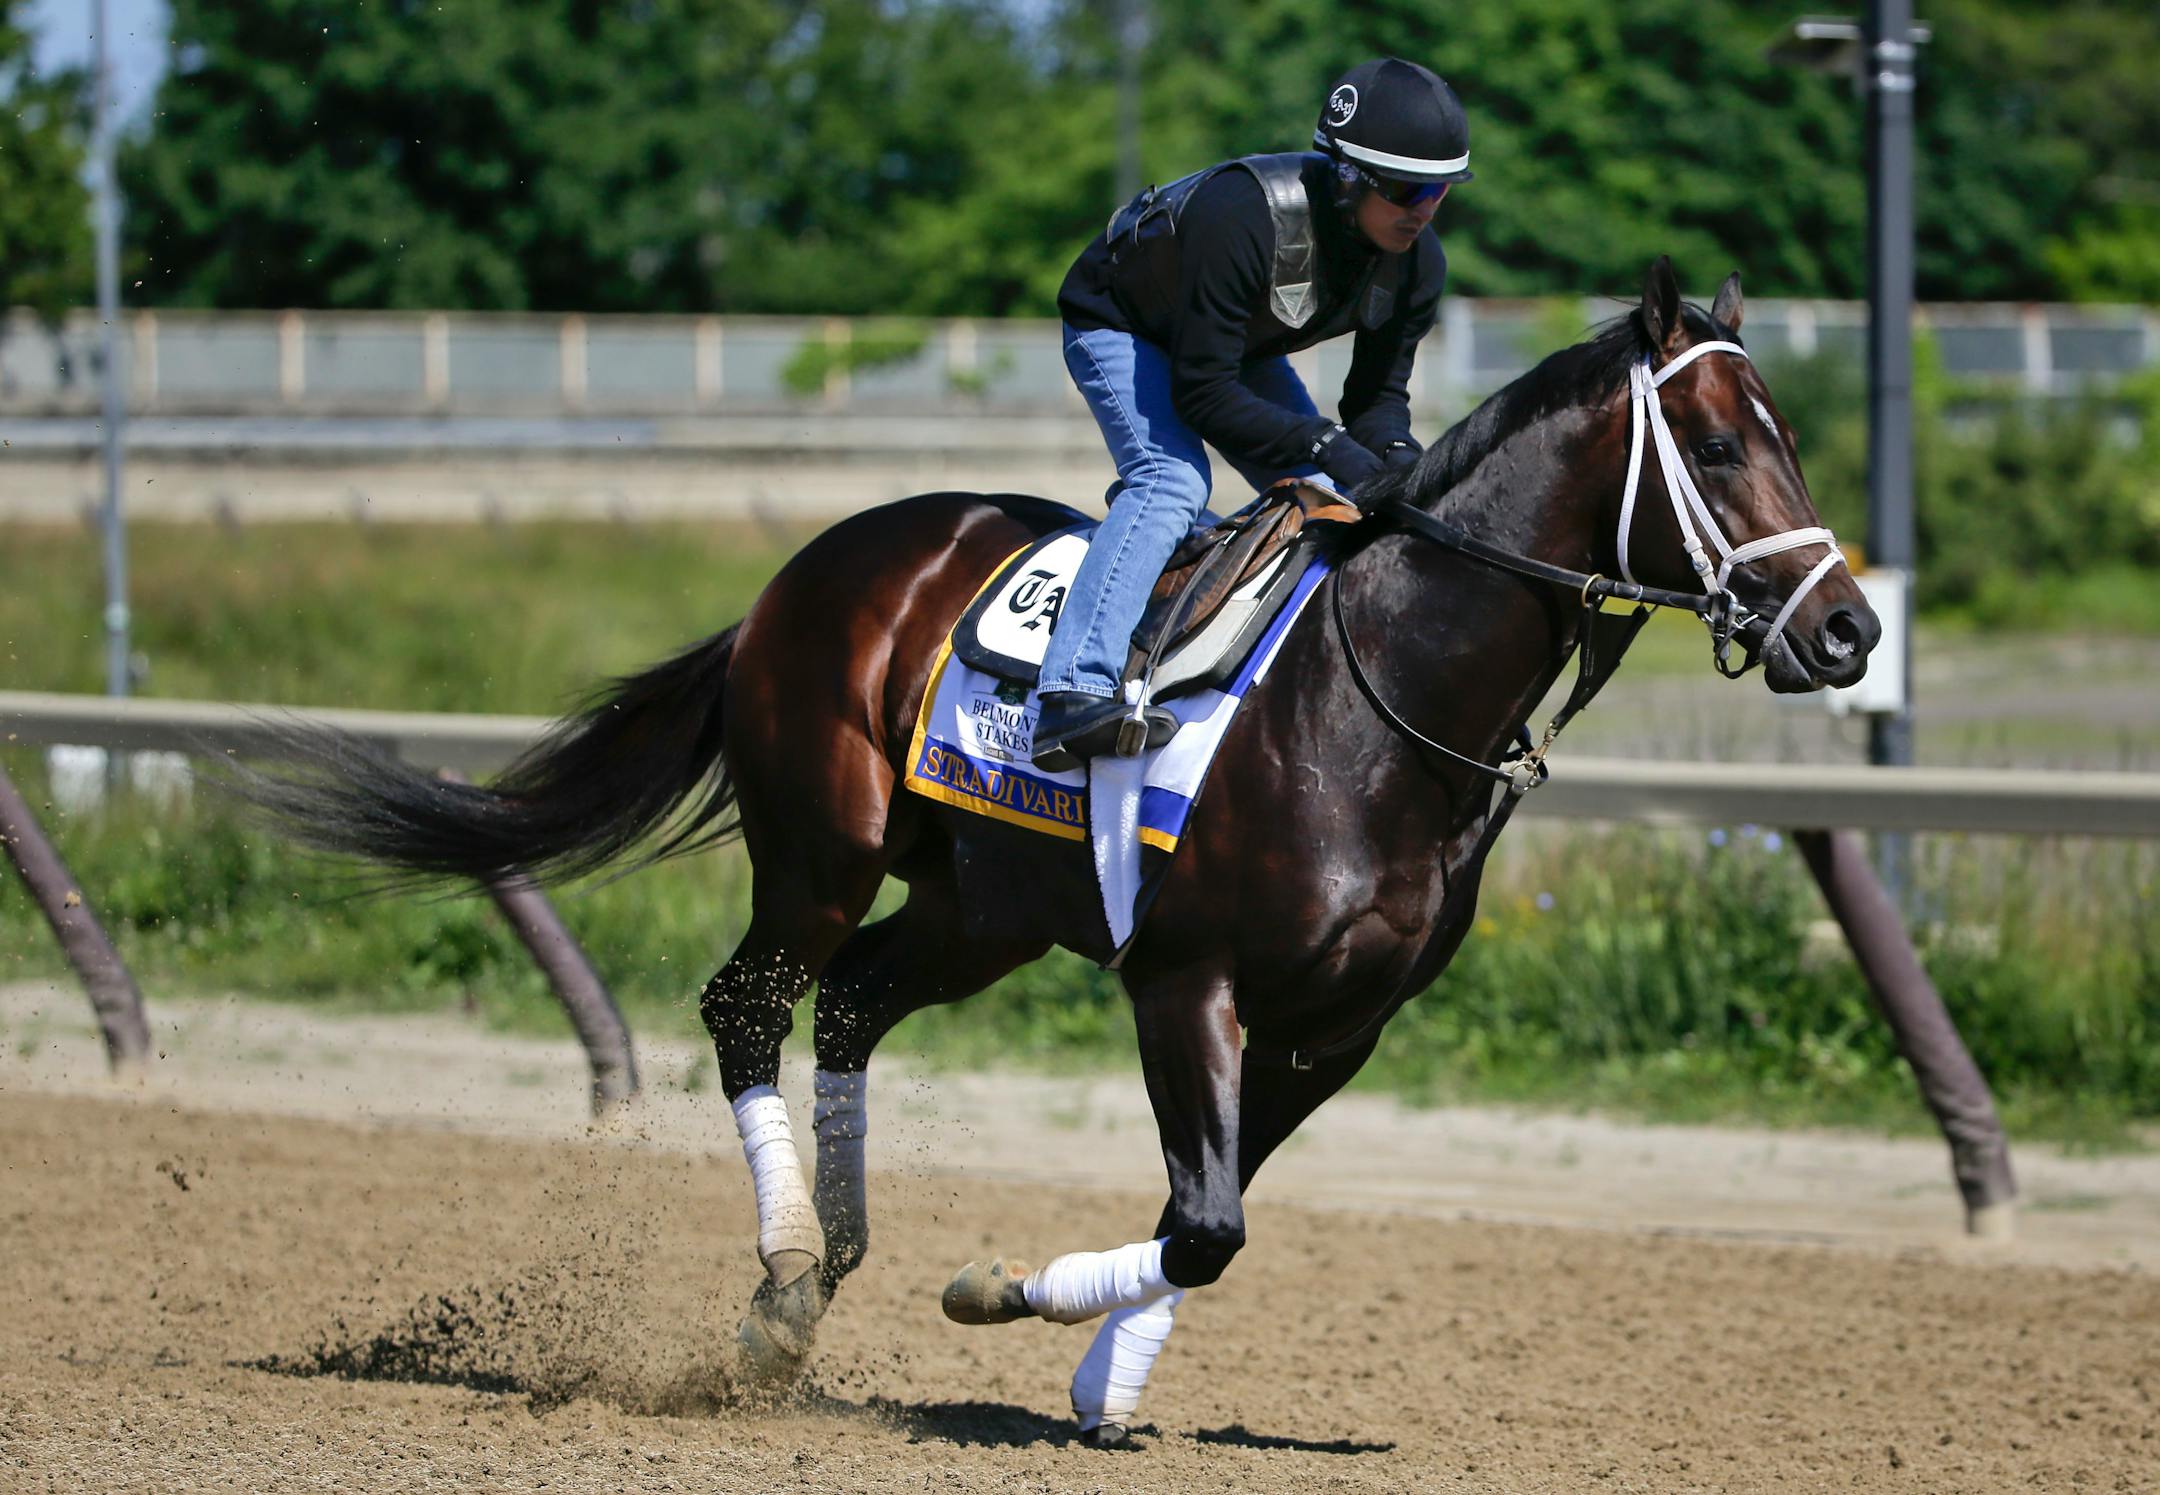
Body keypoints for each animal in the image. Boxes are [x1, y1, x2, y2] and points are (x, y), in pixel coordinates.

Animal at [249, 258, 1877, 1443]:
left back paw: (831, 1257)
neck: (1380, 699)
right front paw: (997, 1297)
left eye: (1792, 440)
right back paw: (781, 1276)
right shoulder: (1184, 976)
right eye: (1718, 444)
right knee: (750, 1003)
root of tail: (805, 568)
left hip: (985, 908)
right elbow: (1206, 1218)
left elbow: (1207, 1218)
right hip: (824, 848)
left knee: (852, 1004)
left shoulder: (1339, 1026)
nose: (1849, 629)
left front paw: (1099, 1379)